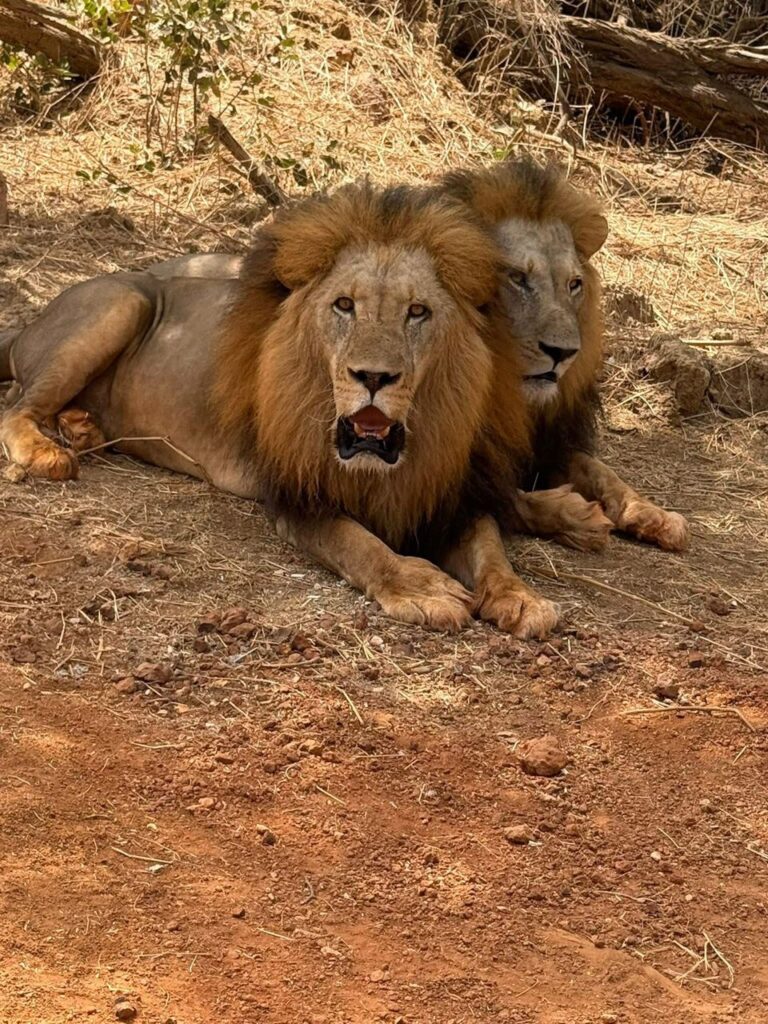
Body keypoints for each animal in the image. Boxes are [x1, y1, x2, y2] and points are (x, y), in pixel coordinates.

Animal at [0, 183, 559, 638]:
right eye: (344, 305)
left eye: (417, 312)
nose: (373, 377)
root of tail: (35, 318)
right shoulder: (299, 498)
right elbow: (359, 544)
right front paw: (420, 586)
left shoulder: (454, 494)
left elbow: (491, 547)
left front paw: (521, 597)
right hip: (123, 301)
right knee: (15, 406)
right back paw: (47, 452)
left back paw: (81, 428)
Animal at [439, 158, 690, 554]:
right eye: (517, 278)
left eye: (574, 284)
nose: (563, 352)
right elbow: (508, 498)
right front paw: (576, 516)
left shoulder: (552, 442)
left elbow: (598, 468)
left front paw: (652, 514)